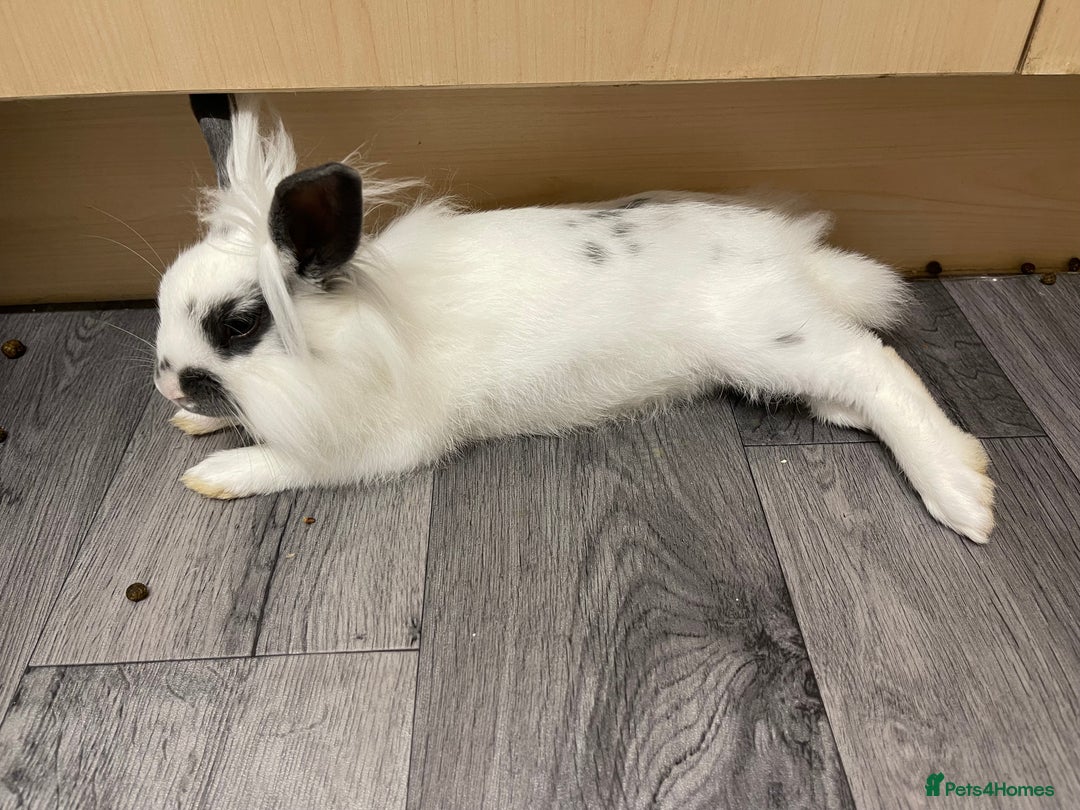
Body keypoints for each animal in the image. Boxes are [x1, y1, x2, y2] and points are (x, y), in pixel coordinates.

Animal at [154, 94, 995, 544]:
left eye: (240, 324)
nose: (165, 383)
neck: (353, 336)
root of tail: (789, 251)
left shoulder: (372, 442)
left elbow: (289, 461)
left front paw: (214, 475)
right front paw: (196, 423)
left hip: (766, 338)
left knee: (874, 365)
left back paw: (963, 491)